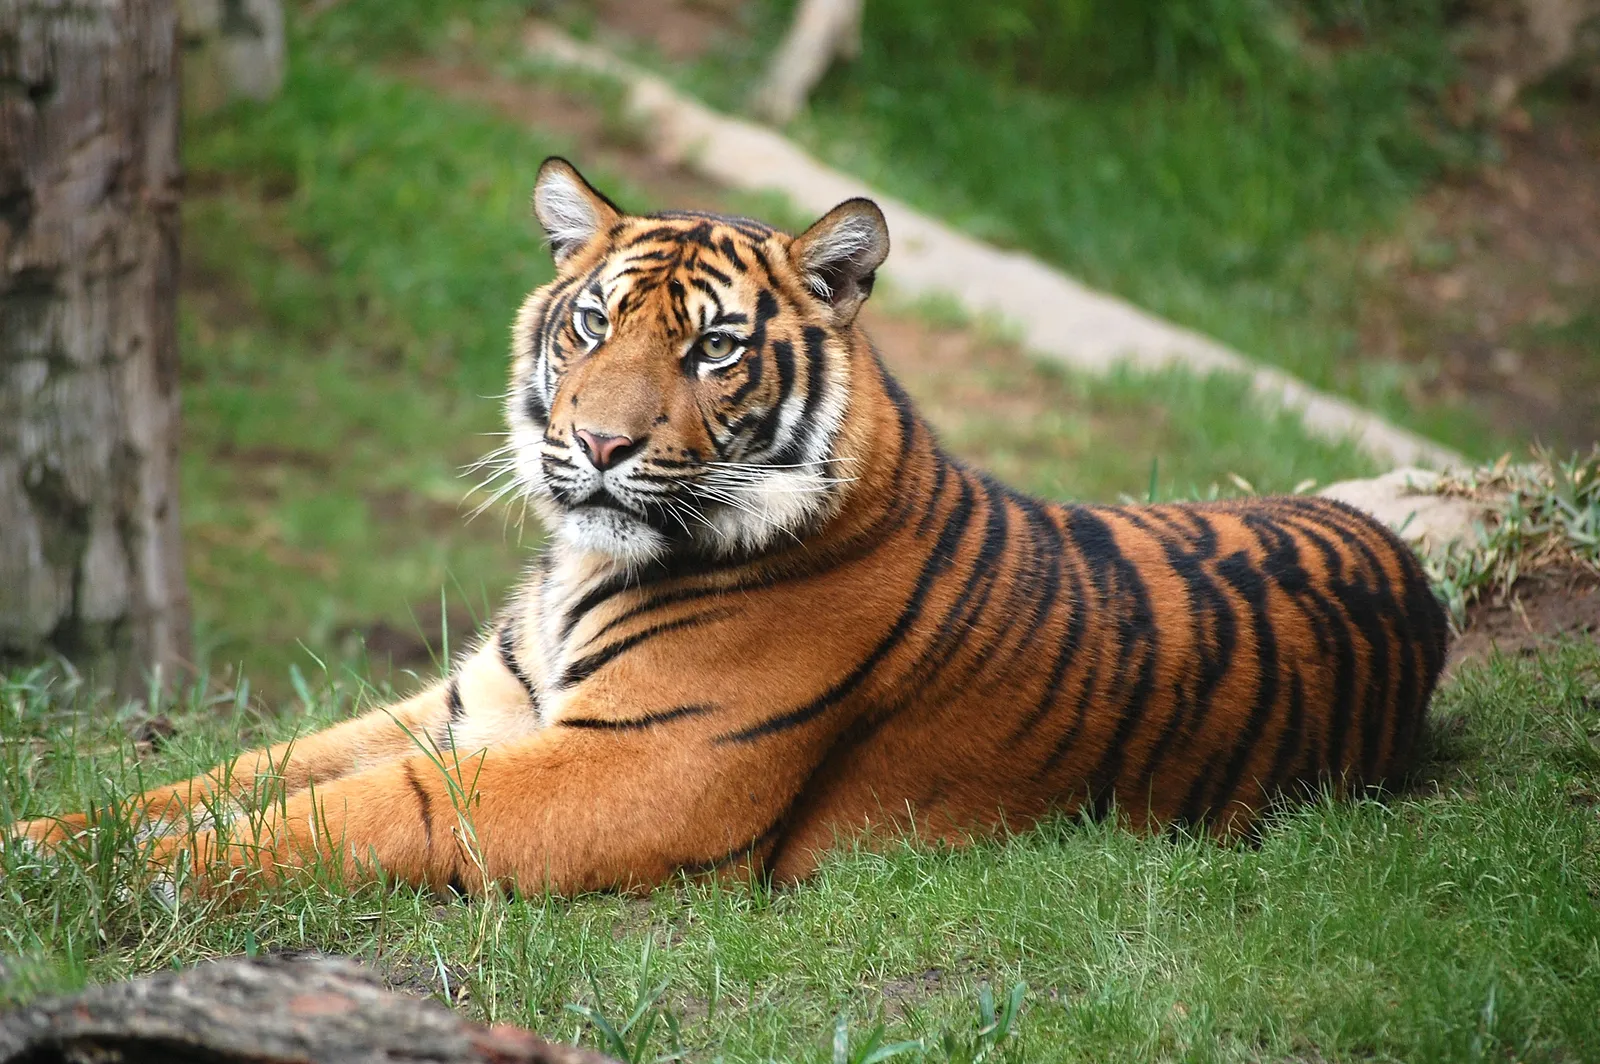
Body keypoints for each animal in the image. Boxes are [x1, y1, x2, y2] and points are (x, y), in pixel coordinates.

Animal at [9, 159, 1450, 895]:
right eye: (593, 323)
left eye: (712, 349)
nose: (598, 444)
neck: (581, 568)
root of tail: (1406, 564)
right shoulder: (469, 704)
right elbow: (242, 772)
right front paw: (54, 838)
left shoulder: (636, 769)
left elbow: (340, 815)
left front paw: (117, 881)